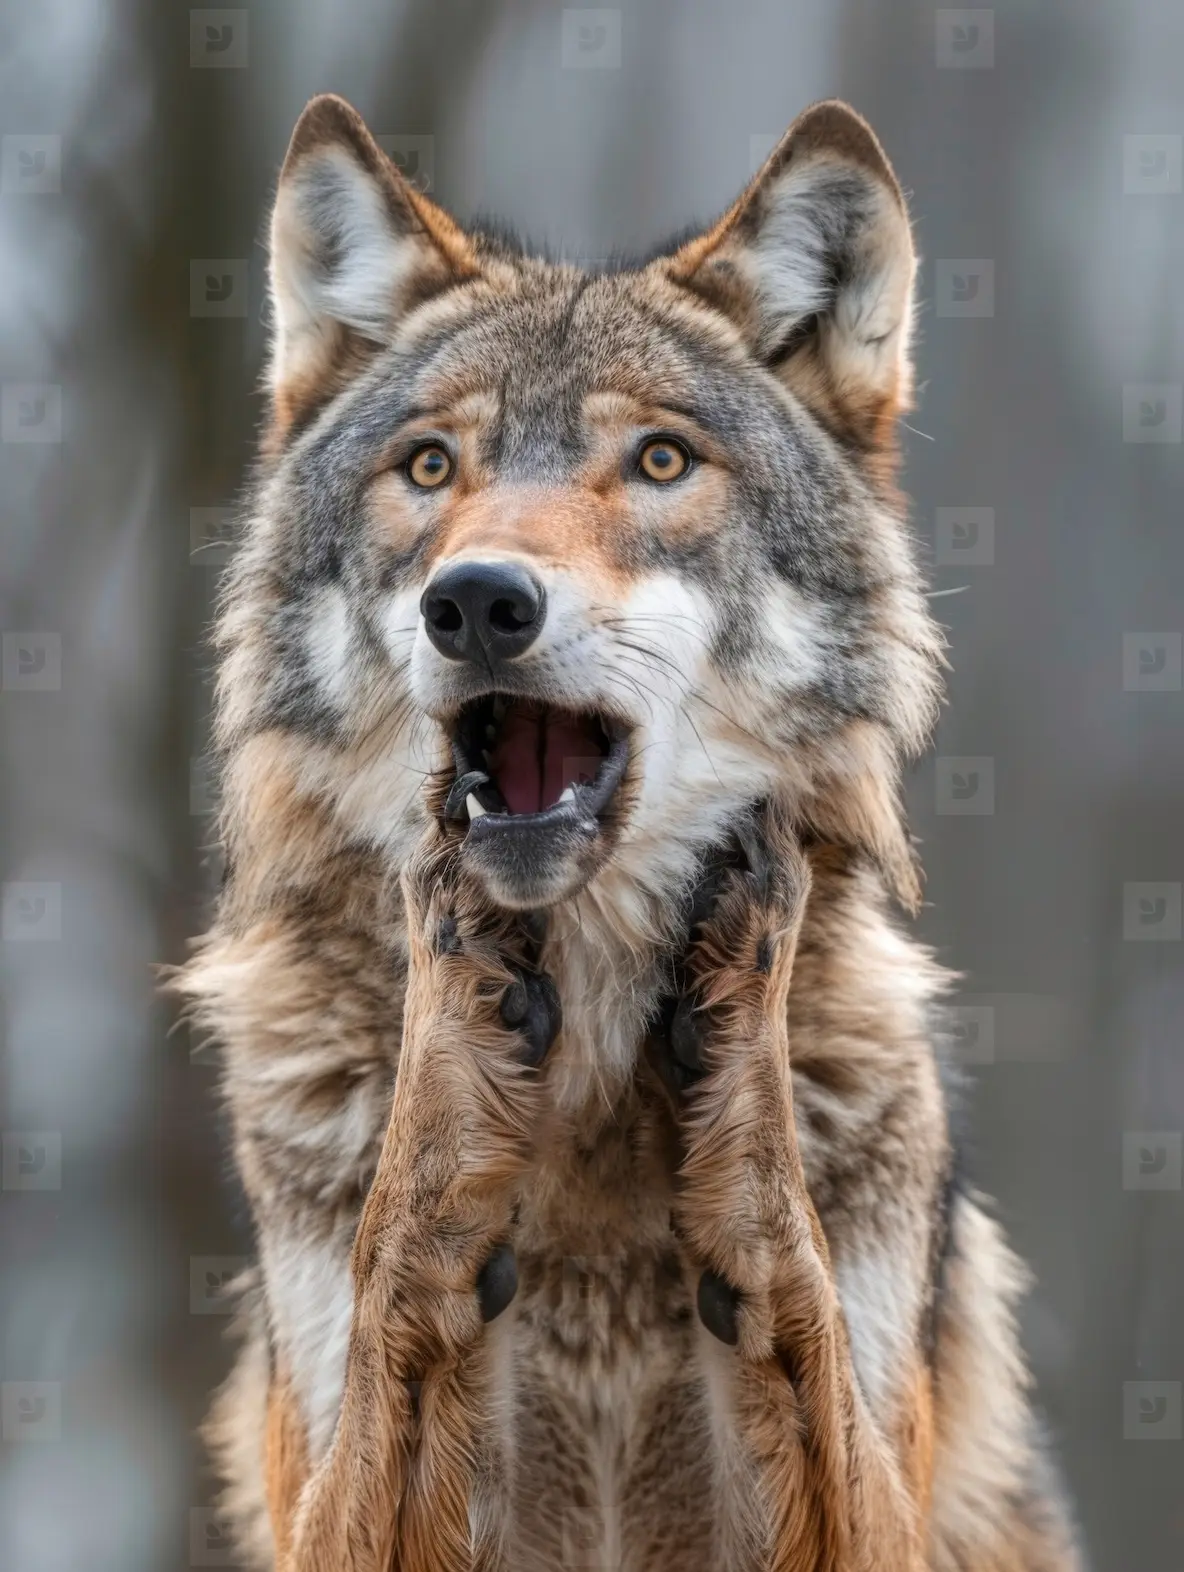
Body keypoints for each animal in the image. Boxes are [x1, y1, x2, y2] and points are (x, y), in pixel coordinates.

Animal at [179, 93, 1083, 1572]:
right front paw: (451, 1028)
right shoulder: (334, 1494)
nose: (478, 601)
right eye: (430, 465)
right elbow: (395, 1244)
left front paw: (738, 1046)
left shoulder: (873, 1505)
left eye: (660, 461)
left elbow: (794, 1262)